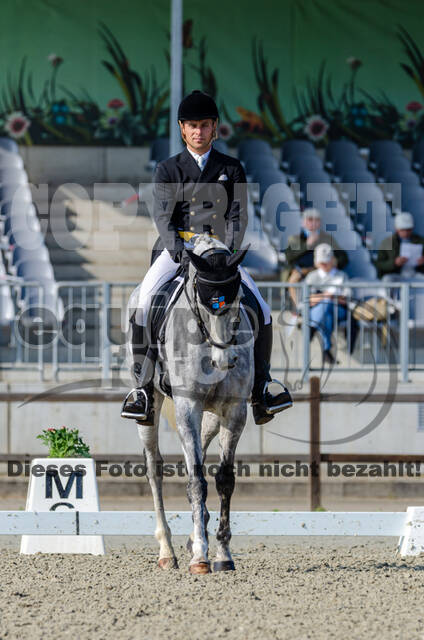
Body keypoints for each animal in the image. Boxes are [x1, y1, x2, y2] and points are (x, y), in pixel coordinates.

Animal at [136, 235, 253, 576]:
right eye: (203, 303)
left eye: (238, 299)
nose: (224, 361)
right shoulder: (188, 405)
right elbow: (198, 481)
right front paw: (201, 556)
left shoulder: (235, 410)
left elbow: (224, 480)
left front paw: (223, 554)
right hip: (152, 408)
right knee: (155, 468)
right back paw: (167, 551)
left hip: (210, 415)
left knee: (196, 448)